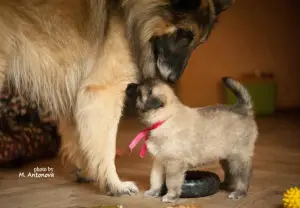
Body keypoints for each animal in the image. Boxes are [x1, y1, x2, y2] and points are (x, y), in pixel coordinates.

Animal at [0, 0, 234, 196]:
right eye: (185, 34)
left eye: (198, 42)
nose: (173, 79)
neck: (128, 11)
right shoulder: (104, 91)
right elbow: (106, 145)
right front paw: (114, 184)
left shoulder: (76, 92)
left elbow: (82, 140)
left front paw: (88, 171)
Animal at [126, 78, 258, 203]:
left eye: (138, 91)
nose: (128, 85)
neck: (164, 119)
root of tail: (242, 110)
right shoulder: (159, 161)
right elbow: (155, 178)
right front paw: (154, 191)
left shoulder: (174, 163)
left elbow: (171, 181)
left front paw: (171, 195)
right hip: (226, 156)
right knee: (230, 172)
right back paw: (226, 184)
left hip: (237, 157)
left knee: (243, 175)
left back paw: (239, 192)